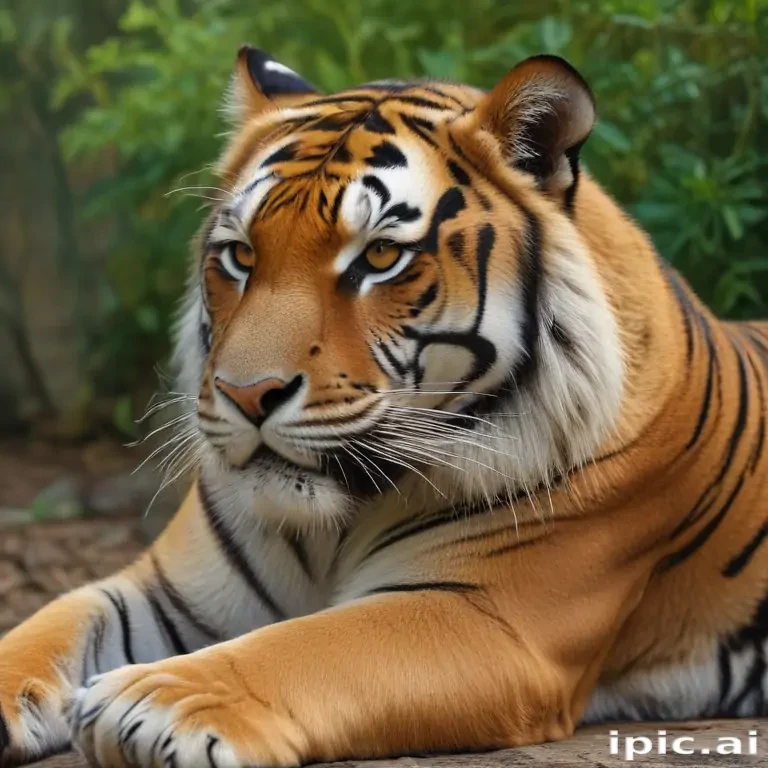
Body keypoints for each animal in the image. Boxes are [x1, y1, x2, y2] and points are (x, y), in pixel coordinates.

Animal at [1, 44, 767, 767]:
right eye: (242, 255)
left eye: (377, 258)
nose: (247, 394)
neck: (330, 526)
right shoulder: (167, 590)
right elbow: (50, 621)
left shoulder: (492, 617)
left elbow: (310, 645)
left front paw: (162, 702)